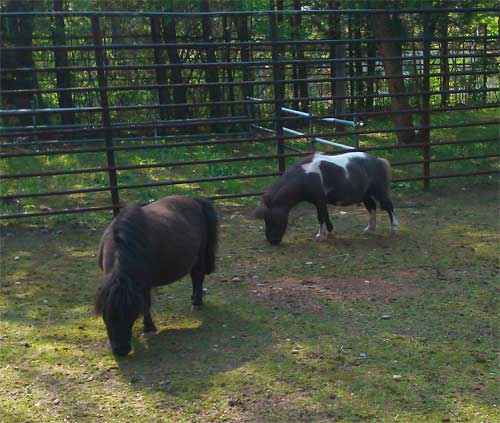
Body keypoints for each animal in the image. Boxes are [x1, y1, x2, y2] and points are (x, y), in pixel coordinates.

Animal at [94, 197, 218, 356]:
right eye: (106, 315)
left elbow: (146, 304)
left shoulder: (144, 284)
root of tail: (195, 201)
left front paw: (148, 329)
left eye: (131, 314)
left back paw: (197, 302)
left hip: (200, 255)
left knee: (198, 275)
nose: (121, 350)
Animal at [254, 152, 398, 245]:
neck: (307, 175)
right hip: (365, 195)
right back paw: (370, 229)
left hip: (379, 192)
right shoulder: (320, 202)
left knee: (389, 207)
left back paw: (394, 229)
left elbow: (321, 217)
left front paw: (320, 236)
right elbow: (325, 216)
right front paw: (330, 233)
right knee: (372, 208)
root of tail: (378, 160)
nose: (272, 241)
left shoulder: (319, 200)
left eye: (271, 219)